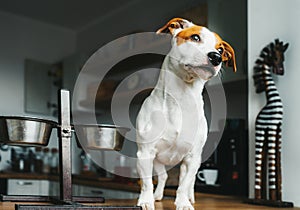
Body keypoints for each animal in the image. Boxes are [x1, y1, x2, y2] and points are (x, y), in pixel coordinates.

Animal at [136, 18, 237, 210]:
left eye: (221, 50)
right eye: (195, 37)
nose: (216, 57)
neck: (181, 99)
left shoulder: (192, 157)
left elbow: (183, 185)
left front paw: (183, 203)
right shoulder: (145, 153)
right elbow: (146, 183)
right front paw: (146, 201)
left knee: (187, 182)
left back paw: (190, 197)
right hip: (158, 162)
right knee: (163, 177)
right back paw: (157, 195)